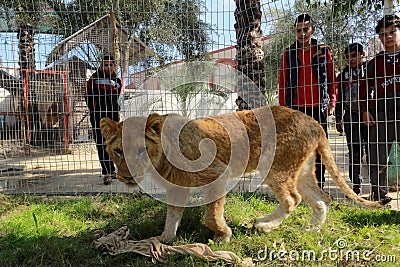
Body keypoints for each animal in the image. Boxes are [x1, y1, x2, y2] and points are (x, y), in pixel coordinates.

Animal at [100, 105, 384, 244]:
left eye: (141, 150)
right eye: (118, 151)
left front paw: (222, 236)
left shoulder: (217, 174)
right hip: (301, 171)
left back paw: (265, 225)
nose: (126, 177)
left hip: (276, 167)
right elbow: (172, 215)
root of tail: (314, 122)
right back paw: (310, 230)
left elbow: (211, 214)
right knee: (323, 199)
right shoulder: (176, 188)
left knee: (292, 199)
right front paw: (163, 240)